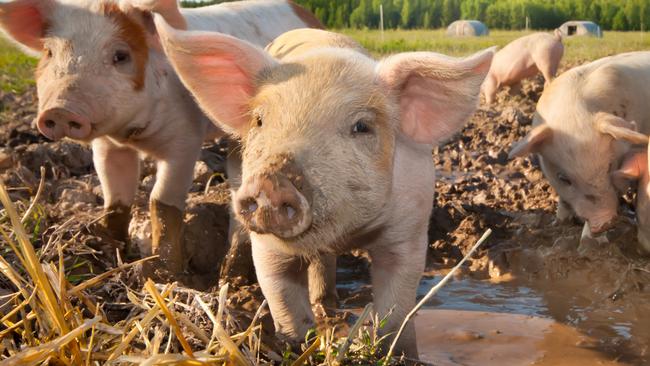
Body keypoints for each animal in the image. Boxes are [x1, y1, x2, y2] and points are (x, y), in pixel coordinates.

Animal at [0, 0, 322, 274]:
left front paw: (165, 274)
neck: (133, 135)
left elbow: (162, 202)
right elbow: (115, 200)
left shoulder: (185, 139)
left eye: (120, 56)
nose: (61, 110)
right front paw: (110, 251)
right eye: (49, 53)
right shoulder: (107, 147)